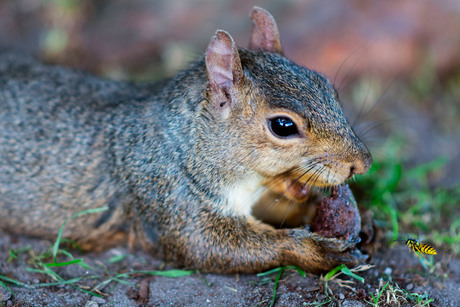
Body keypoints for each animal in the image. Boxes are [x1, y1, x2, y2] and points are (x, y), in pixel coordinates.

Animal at [0, 6, 370, 274]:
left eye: (324, 84)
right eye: (282, 125)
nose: (362, 163)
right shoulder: (170, 198)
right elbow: (209, 246)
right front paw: (316, 250)